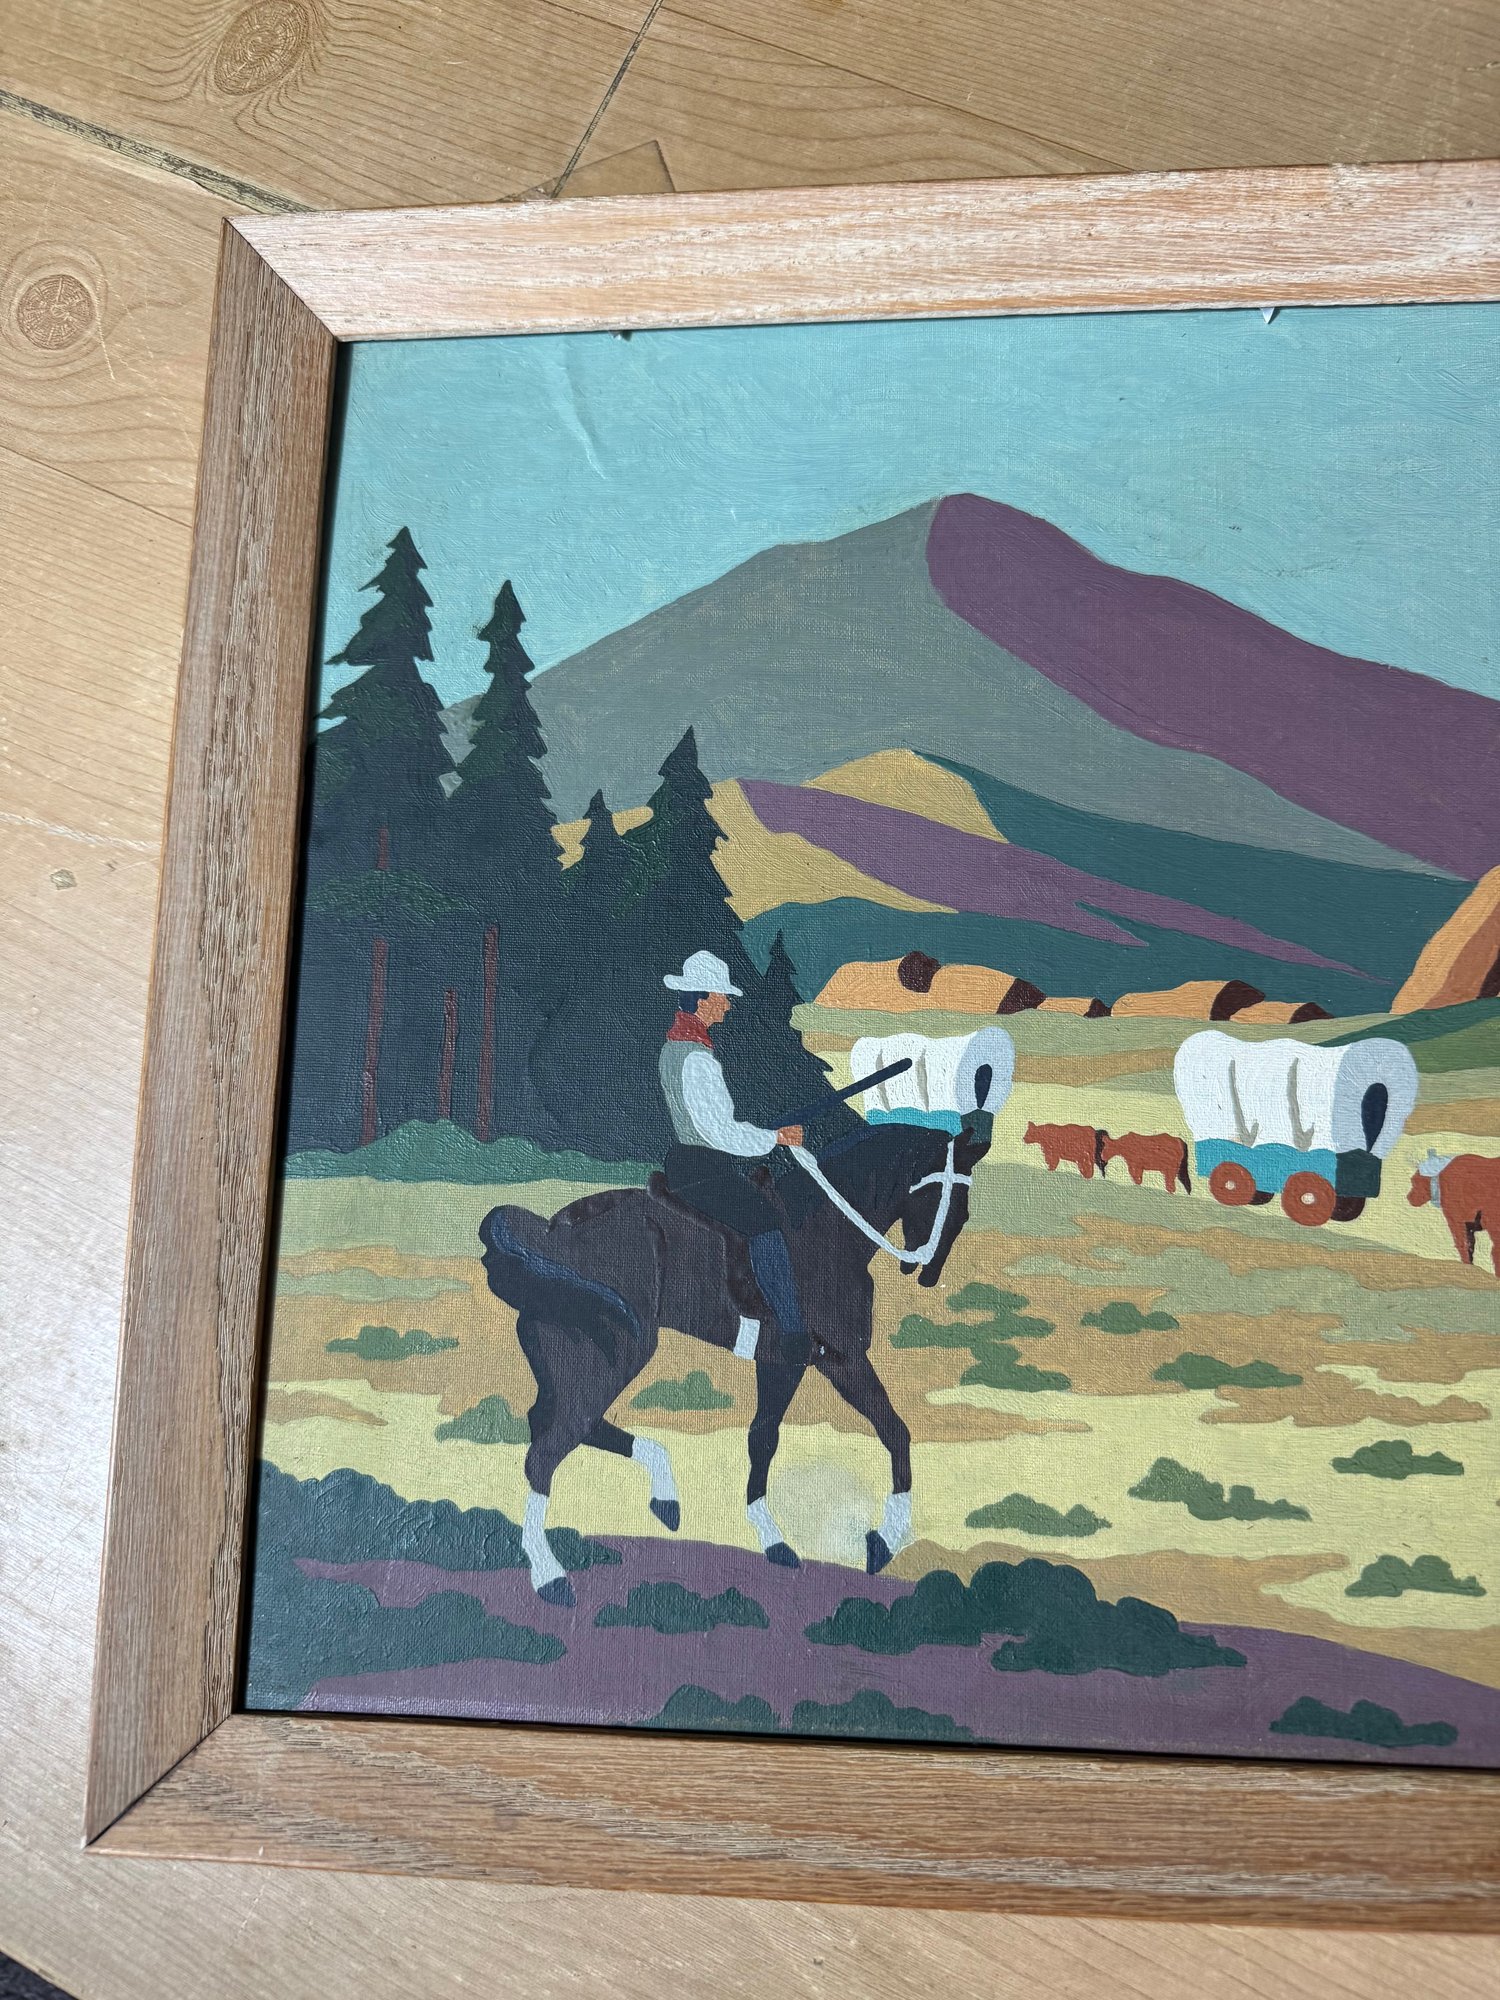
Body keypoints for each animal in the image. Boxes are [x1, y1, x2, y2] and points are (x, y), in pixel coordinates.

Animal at [479, 1112, 995, 1604]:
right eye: (950, 1198)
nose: (928, 1272)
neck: (827, 1230)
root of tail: (548, 1232)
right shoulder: (830, 1359)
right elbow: (877, 1432)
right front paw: (876, 1542)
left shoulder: (793, 1362)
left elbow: (781, 1437)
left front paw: (788, 1539)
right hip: (608, 1356)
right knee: (548, 1449)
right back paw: (550, 1576)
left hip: (576, 1358)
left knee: (560, 1423)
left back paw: (665, 1499)